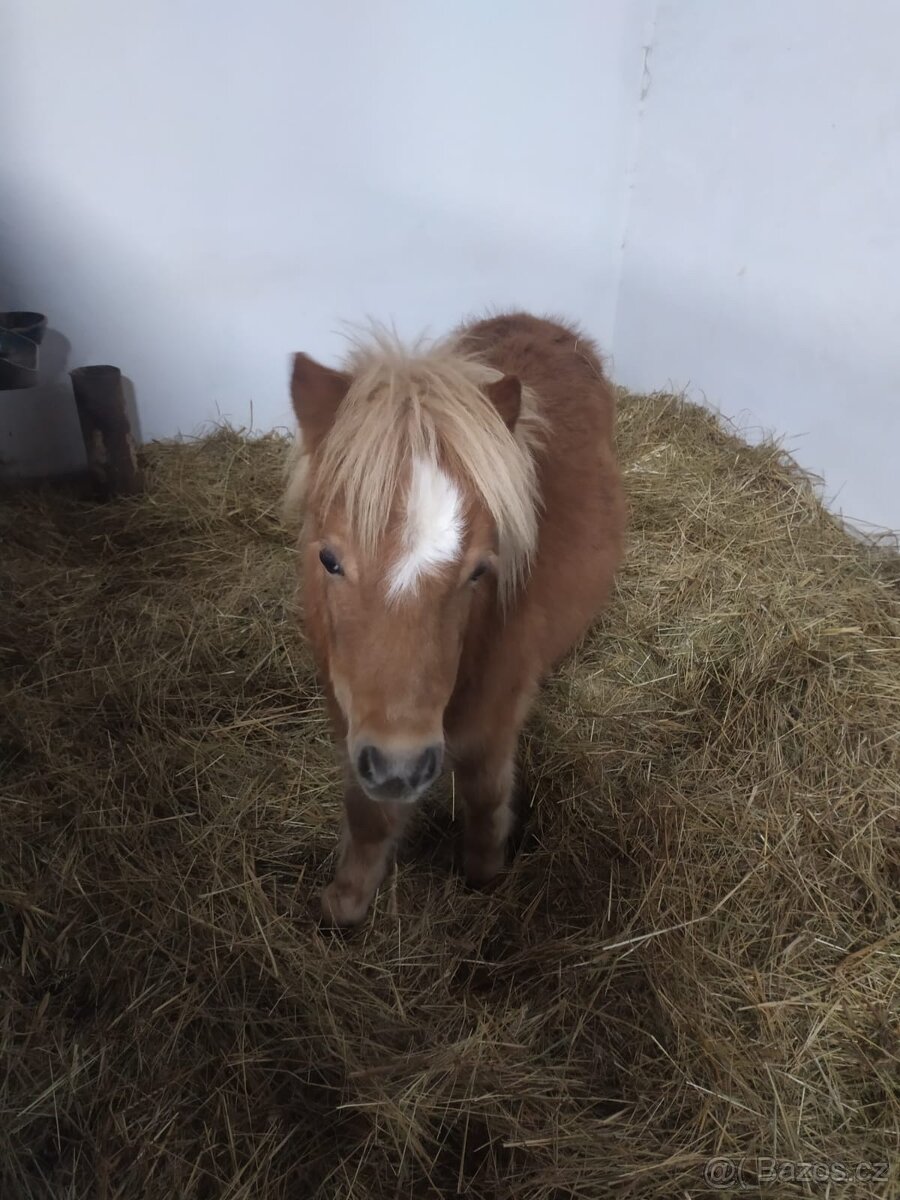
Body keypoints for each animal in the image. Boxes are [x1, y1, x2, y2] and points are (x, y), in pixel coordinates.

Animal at [286, 312, 625, 925]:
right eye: (328, 559)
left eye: (480, 570)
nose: (400, 767)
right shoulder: (354, 721)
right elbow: (367, 813)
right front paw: (345, 902)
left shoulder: (494, 719)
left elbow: (485, 794)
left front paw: (486, 874)